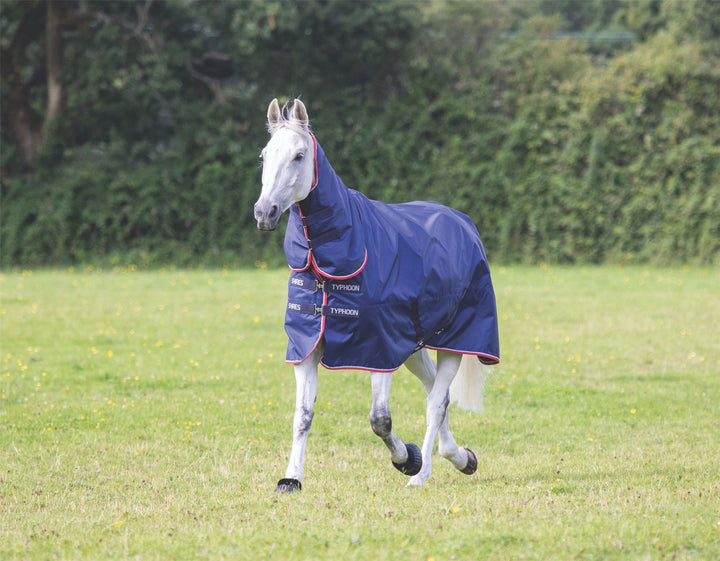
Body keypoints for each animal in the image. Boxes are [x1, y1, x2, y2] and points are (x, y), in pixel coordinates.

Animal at [255, 99, 500, 490]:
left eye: (299, 155)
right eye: (264, 156)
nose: (265, 213)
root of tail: (462, 223)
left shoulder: (377, 348)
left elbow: (380, 419)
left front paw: (407, 460)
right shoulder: (307, 346)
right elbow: (303, 415)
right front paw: (291, 479)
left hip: (456, 342)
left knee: (437, 401)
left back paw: (423, 474)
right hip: (413, 346)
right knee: (435, 391)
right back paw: (461, 458)